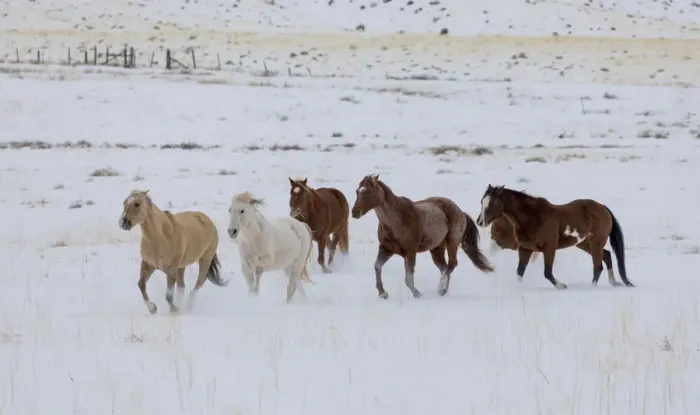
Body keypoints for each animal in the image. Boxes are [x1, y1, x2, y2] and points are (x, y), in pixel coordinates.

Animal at [350, 174, 494, 299]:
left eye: (367, 192)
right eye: (357, 191)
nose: (354, 212)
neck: (396, 221)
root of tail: (460, 211)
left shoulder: (410, 252)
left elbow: (408, 278)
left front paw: (417, 294)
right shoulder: (386, 249)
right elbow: (377, 267)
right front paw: (383, 293)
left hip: (452, 243)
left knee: (451, 266)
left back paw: (441, 289)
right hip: (437, 249)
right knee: (444, 267)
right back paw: (442, 290)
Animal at [475, 184, 634, 289]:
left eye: (494, 202)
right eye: (482, 201)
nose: (480, 222)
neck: (532, 217)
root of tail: (603, 207)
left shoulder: (549, 248)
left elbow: (547, 272)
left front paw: (561, 285)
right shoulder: (525, 249)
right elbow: (519, 273)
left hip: (596, 241)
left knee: (598, 266)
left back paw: (591, 287)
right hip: (583, 243)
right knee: (606, 255)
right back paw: (614, 282)